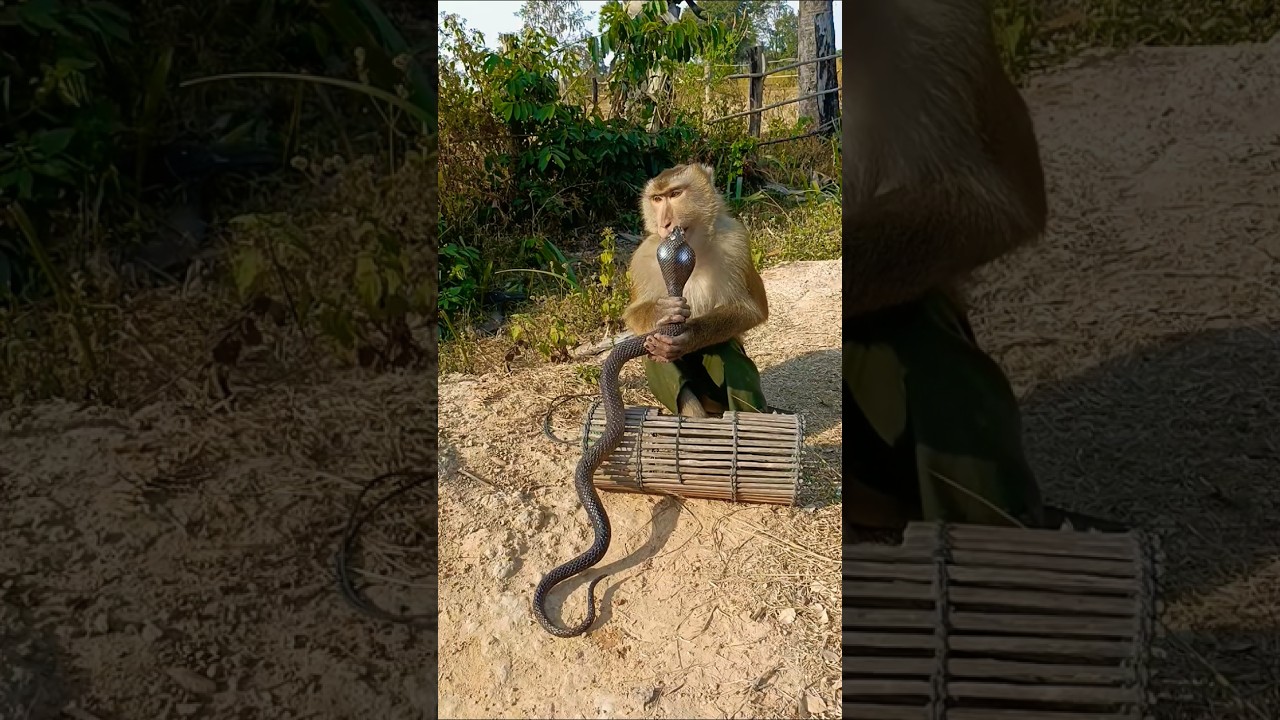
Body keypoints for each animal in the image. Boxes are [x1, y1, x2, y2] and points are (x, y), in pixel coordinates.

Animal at [622, 163, 770, 419]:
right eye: (657, 199)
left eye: (675, 194)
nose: (665, 224)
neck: (695, 246)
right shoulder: (642, 258)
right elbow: (634, 314)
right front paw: (663, 312)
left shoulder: (736, 242)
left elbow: (750, 310)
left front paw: (687, 336)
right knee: (652, 353)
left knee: (725, 349)